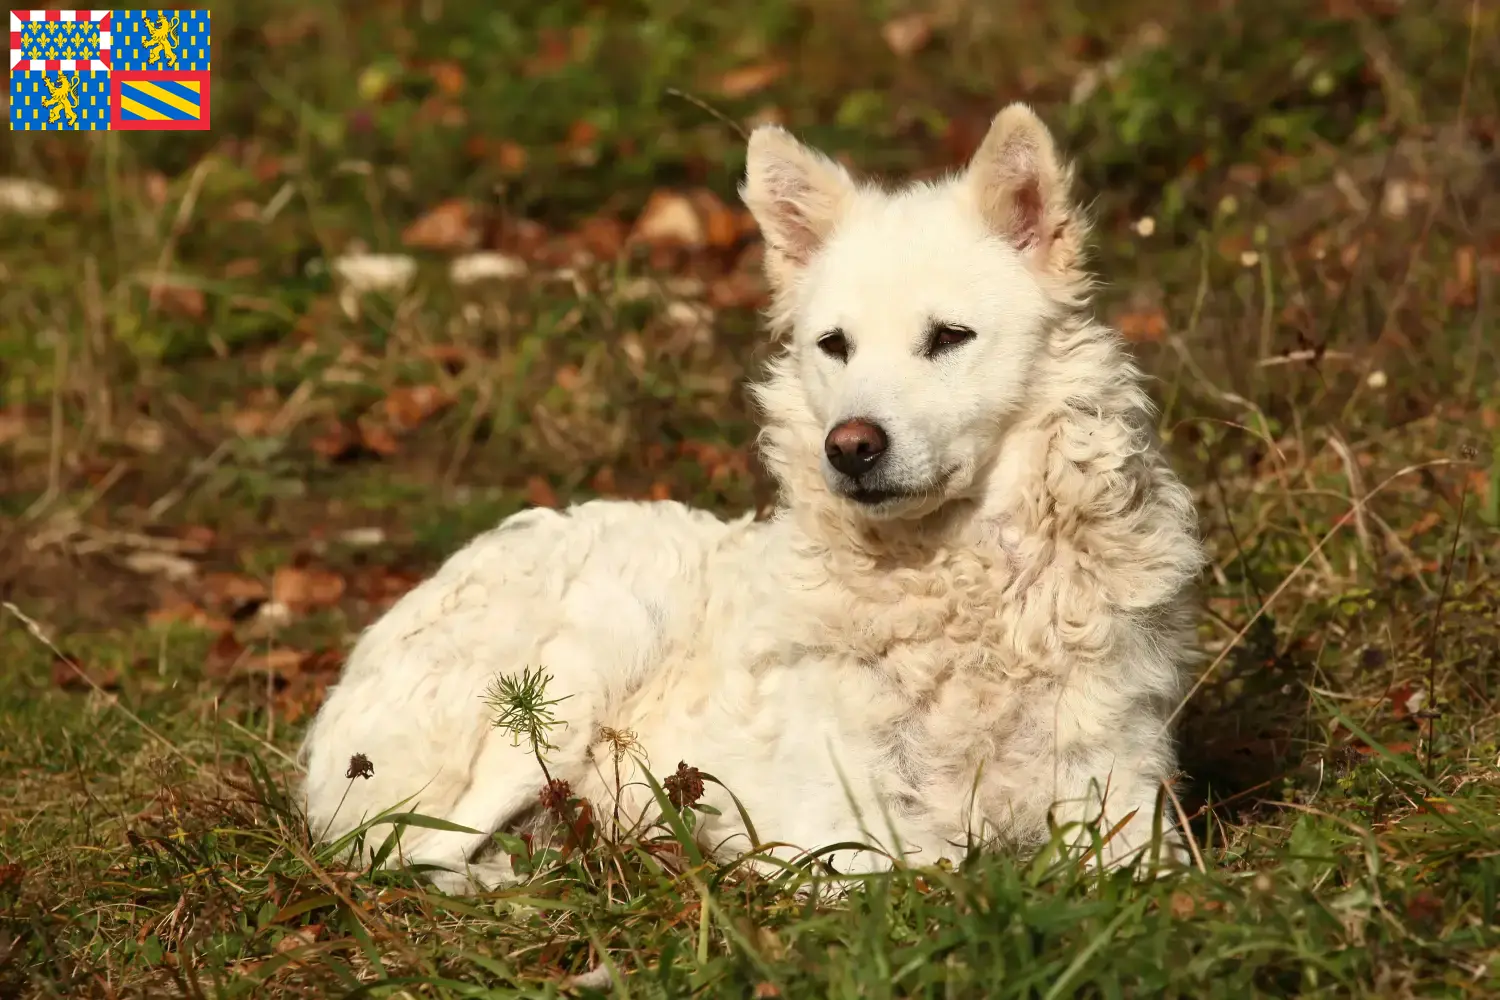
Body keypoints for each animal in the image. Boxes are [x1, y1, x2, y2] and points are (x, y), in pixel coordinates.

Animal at [301, 103, 1206, 893]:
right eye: (834, 345)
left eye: (950, 337)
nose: (850, 446)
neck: (962, 586)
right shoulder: (838, 830)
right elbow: (928, 871)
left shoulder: (1124, 799)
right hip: (585, 659)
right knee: (407, 853)